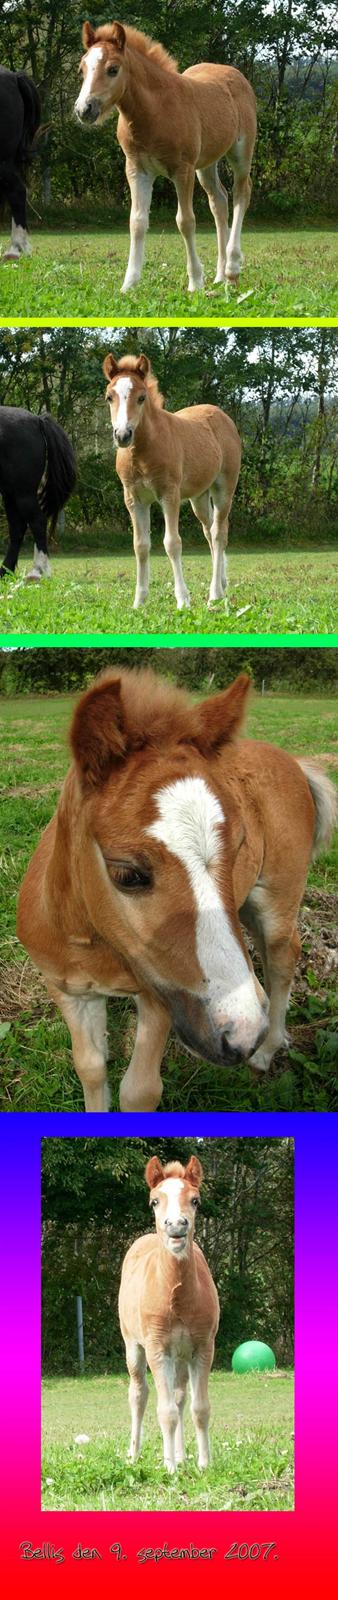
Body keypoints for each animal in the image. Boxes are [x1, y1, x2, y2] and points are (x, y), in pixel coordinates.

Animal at [0, 409, 76, 579]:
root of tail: (37, 420)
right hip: (11, 494)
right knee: (17, 528)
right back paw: (6, 571)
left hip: (23, 493)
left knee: (37, 522)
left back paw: (38, 571)